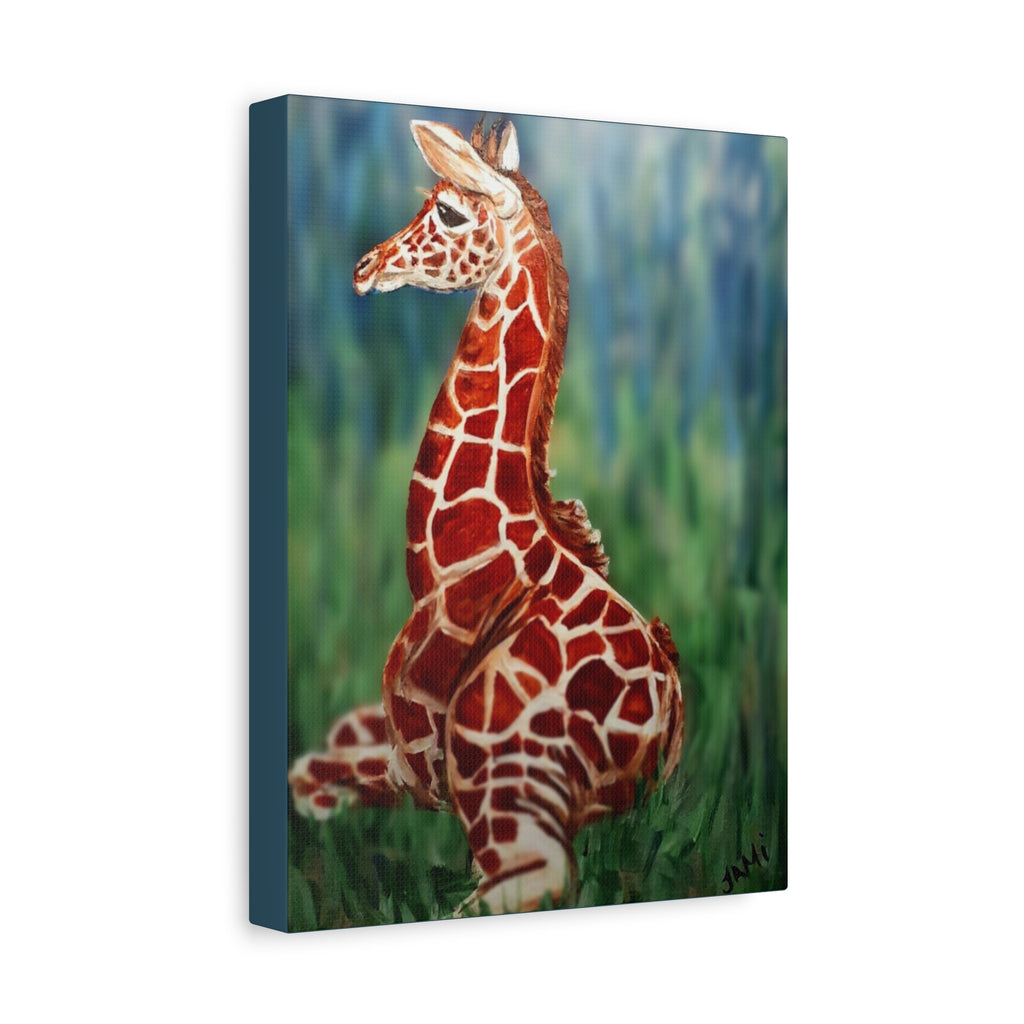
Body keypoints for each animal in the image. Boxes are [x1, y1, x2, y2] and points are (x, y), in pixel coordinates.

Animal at [289, 117, 685, 915]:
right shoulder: (396, 738)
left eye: (447, 211)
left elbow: (315, 777)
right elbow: (322, 752)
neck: (447, 561)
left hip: (502, 771)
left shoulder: (422, 757)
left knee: (535, 880)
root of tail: (661, 743)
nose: (364, 266)